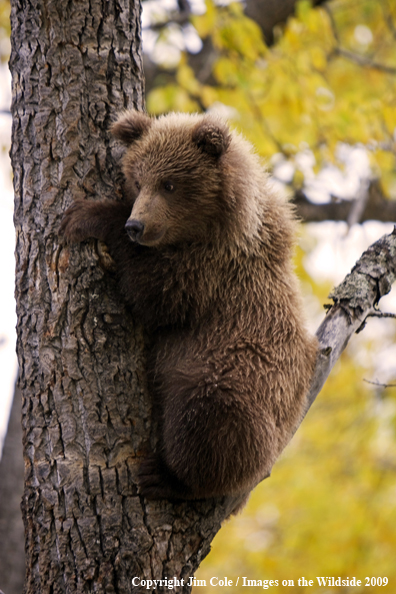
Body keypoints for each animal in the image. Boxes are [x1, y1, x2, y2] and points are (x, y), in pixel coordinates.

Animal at [59, 110, 318, 500]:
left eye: (169, 184)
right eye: (138, 179)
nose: (136, 225)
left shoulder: (216, 270)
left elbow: (160, 294)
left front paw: (86, 214)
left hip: (240, 380)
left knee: (209, 421)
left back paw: (166, 476)